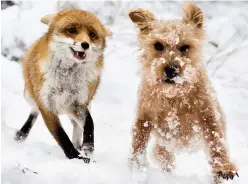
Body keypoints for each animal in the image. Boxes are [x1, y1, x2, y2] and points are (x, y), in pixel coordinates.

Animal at [15, 8, 112, 162]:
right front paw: (74, 156)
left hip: (79, 105)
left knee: (76, 126)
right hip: (29, 95)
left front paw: (87, 148)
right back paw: (22, 133)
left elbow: (89, 124)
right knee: (34, 110)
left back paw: (79, 144)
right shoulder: (46, 105)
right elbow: (60, 135)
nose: (85, 45)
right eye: (72, 30)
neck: (67, 80)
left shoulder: (78, 104)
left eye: (92, 34)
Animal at [129, 2, 237, 183]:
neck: (174, 97)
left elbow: (216, 142)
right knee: (163, 157)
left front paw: (224, 168)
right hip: (163, 148)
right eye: (158, 45)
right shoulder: (145, 116)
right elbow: (139, 142)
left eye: (185, 47)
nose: (171, 70)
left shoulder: (207, 116)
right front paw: (135, 168)